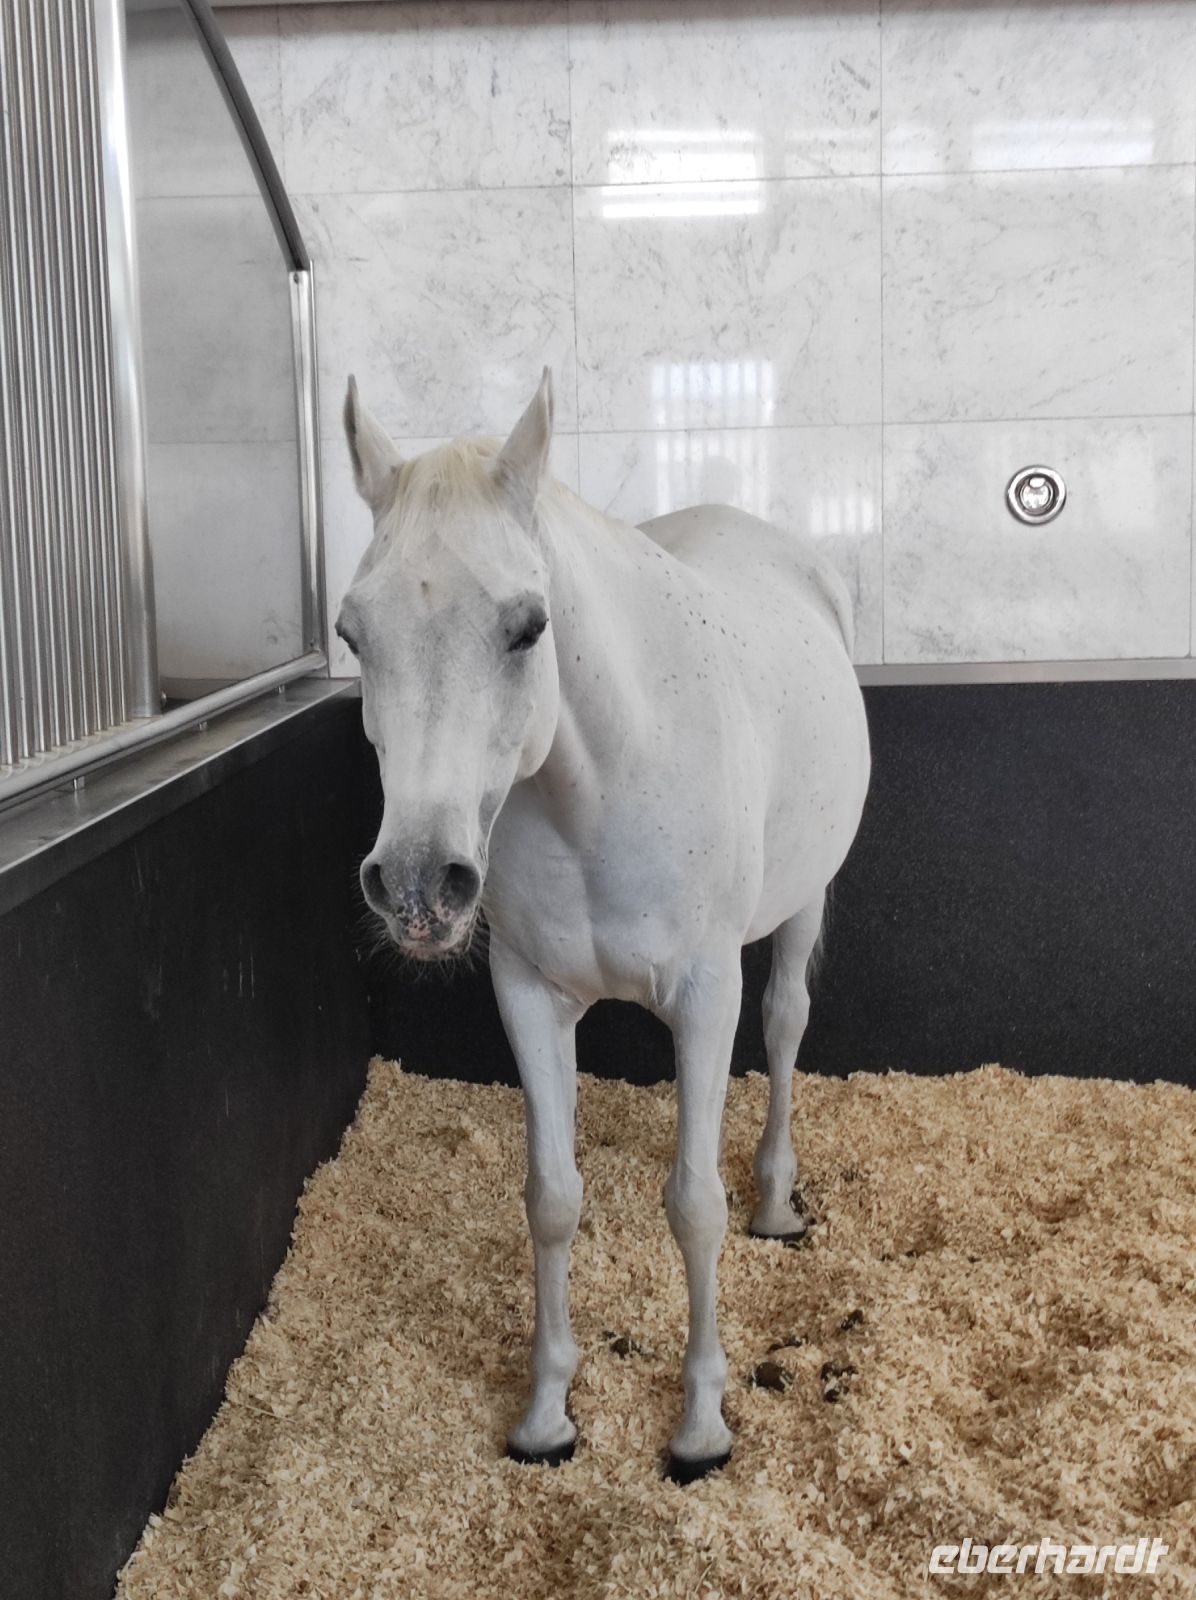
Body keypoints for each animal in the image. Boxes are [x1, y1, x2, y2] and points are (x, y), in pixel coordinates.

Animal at [337, 369, 871, 1482]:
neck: (601, 783)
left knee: (785, 1027)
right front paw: (547, 1412)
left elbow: (694, 1206)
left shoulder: (707, 995)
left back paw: (775, 1200)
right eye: (352, 634)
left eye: (527, 626)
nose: (417, 886)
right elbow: (551, 1199)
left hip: (801, 905)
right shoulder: (530, 997)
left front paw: (701, 1425)